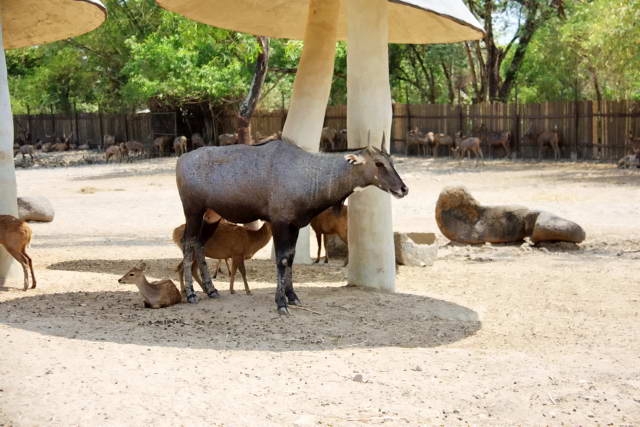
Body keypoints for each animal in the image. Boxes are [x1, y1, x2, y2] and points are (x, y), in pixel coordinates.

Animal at [176, 137, 404, 314]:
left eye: (391, 161)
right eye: (378, 163)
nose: (403, 189)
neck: (306, 173)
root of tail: (181, 160)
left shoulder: (295, 225)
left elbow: (291, 258)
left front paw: (292, 296)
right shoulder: (280, 223)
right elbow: (282, 260)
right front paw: (281, 303)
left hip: (210, 216)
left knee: (199, 244)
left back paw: (212, 290)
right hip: (193, 212)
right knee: (188, 243)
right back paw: (191, 294)